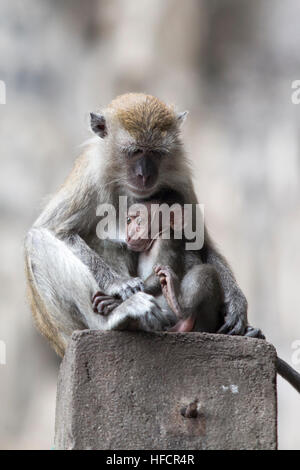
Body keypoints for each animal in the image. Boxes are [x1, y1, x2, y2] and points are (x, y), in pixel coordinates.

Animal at [92, 200, 224, 332]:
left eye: (140, 221)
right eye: (129, 220)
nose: (129, 234)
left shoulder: (165, 239)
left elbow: (160, 270)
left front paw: (116, 300)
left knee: (207, 270)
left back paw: (180, 310)